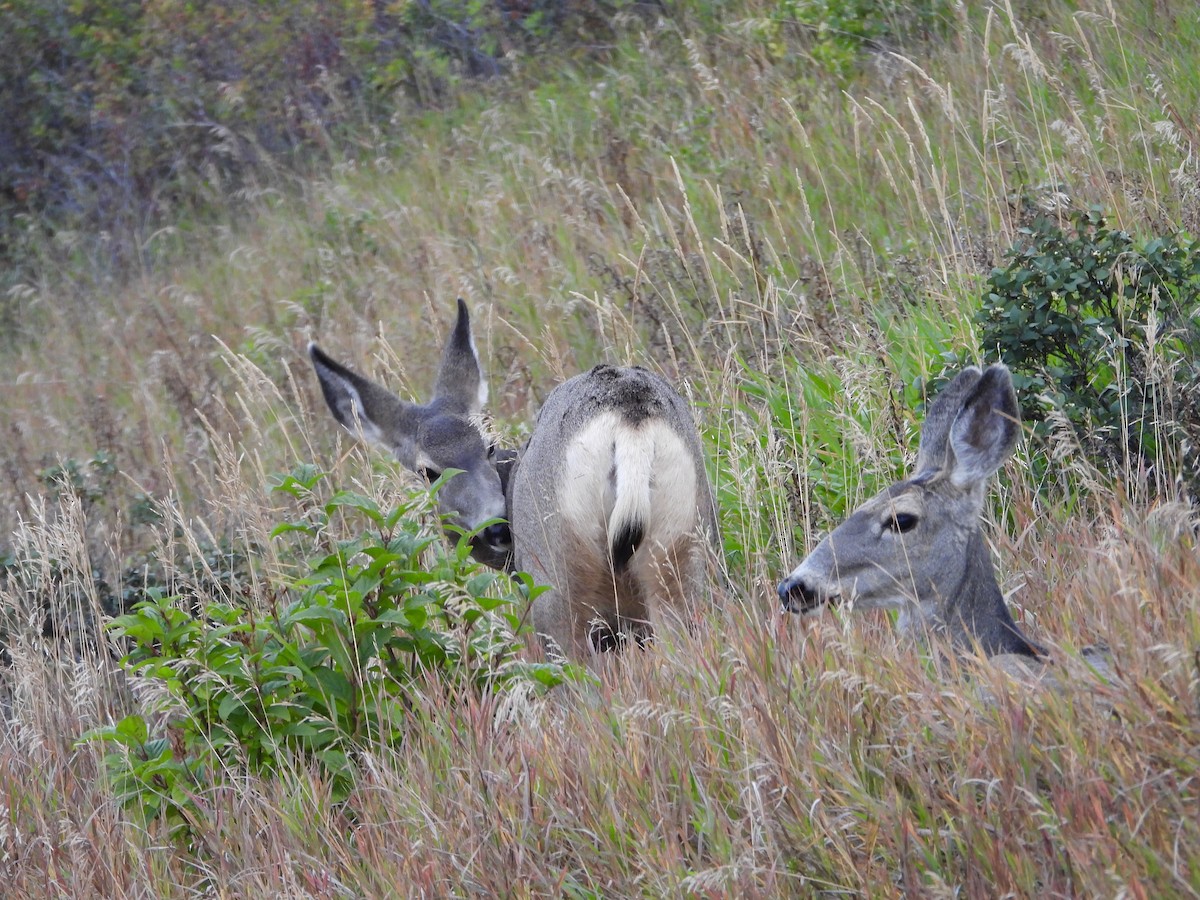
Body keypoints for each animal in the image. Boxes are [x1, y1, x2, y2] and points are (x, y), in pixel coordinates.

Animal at [309, 299, 720, 663]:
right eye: (428, 471)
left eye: (488, 446)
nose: (497, 526)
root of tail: (629, 417)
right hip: (685, 547)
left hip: (556, 582)